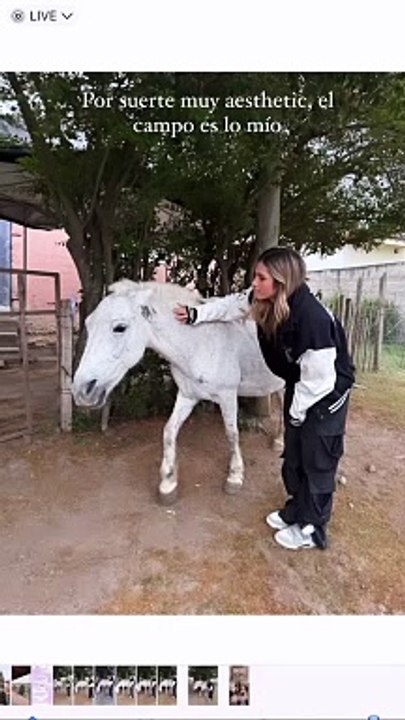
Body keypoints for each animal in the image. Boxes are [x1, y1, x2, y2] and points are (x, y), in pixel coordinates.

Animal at [72, 280, 285, 504]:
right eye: (88, 324)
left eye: (120, 327)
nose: (82, 390)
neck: (201, 344)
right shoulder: (187, 396)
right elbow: (169, 431)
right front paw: (168, 483)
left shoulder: (228, 396)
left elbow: (232, 434)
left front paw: (234, 476)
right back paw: (279, 442)